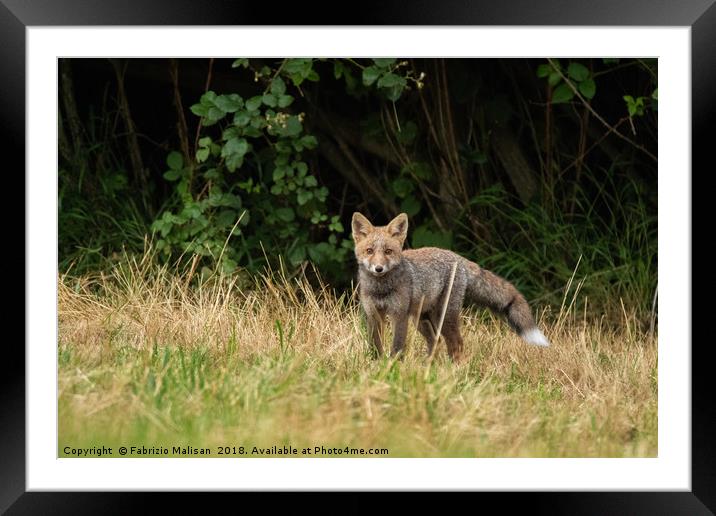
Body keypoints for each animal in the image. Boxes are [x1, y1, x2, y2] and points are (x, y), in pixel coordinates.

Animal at [352, 210, 548, 358]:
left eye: (388, 251)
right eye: (369, 251)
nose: (378, 268)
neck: (380, 289)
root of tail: (457, 257)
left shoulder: (399, 315)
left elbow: (397, 347)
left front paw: (393, 368)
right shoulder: (373, 315)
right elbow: (375, 345)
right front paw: (377, 366)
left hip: (443, 316)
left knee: (456, 343)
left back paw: (455, 371)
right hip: (421, 318)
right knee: (435, 341)